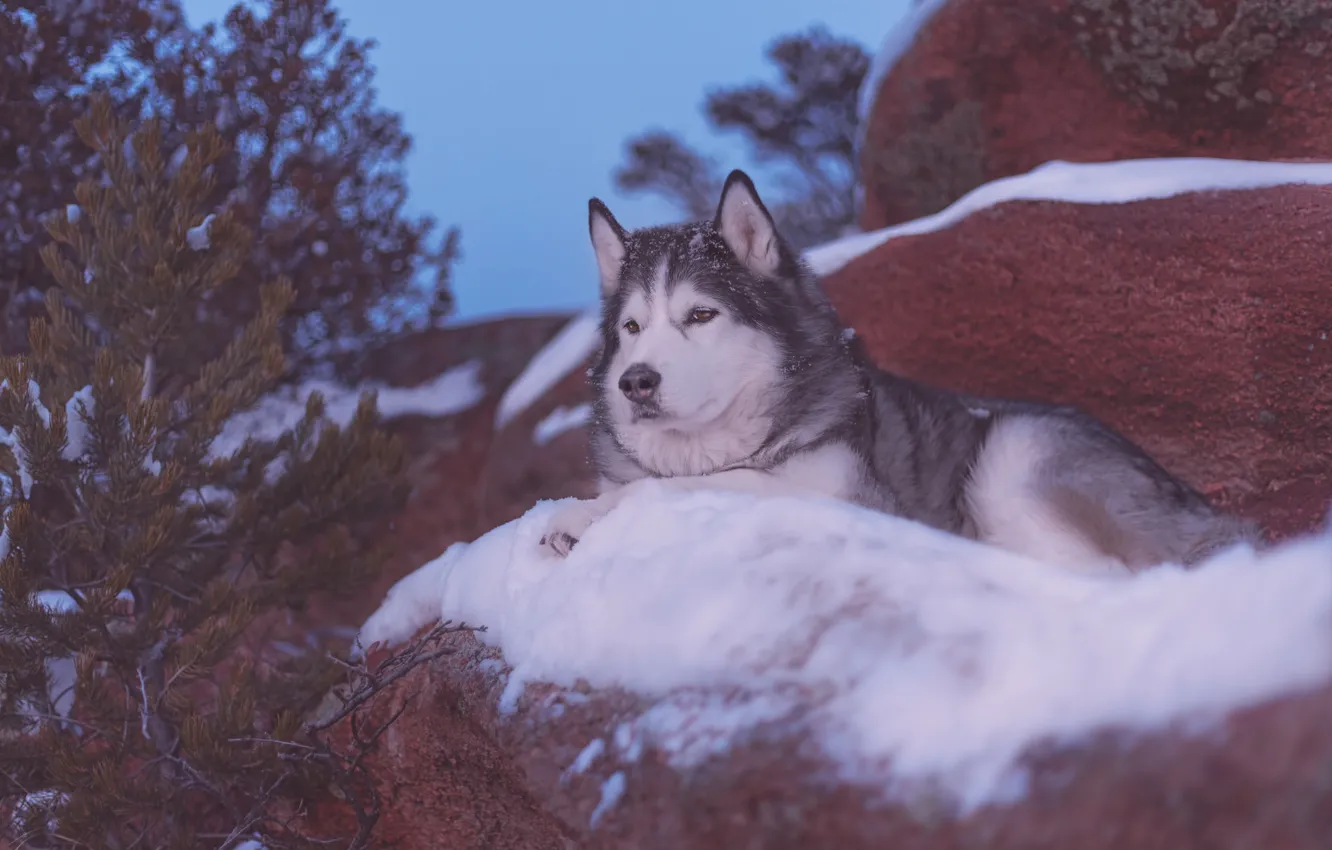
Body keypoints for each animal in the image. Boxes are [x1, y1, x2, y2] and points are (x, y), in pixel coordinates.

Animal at [535, 169, 1252, 575]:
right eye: (632, 329)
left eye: (701, 314)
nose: (636, 383)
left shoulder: (858, 503)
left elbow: (719, 483)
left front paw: (586, 515)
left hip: (1014, 456)